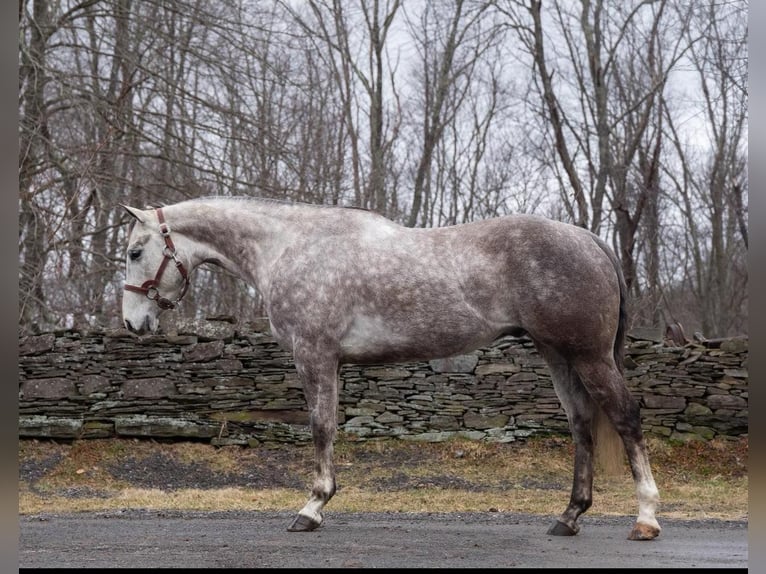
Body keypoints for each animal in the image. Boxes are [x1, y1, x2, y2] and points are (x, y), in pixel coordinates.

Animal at [120, 196, 660, 544]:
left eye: (133, 251)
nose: (132, 323)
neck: (291, 246)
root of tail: (588, 239)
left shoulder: (315, 356)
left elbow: (320, 428)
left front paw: (312, 508)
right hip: (556, 354)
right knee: (581, 424)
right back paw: (569, 517)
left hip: (588, 355)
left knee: (625, 418)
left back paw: (646, 519)